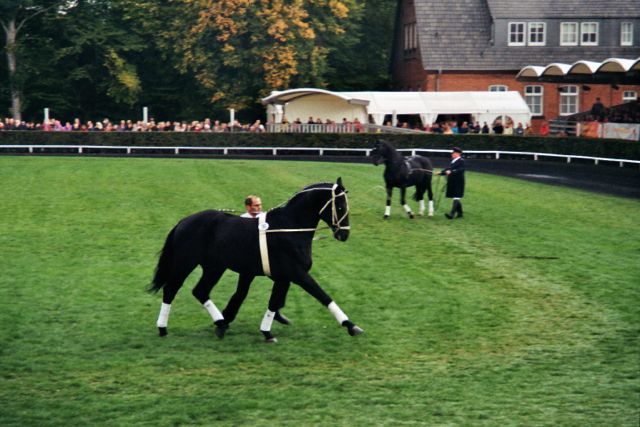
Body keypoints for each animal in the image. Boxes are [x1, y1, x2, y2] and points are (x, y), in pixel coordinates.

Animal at [148, 177, 363, 343]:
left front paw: (267, 332)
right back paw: (165, 328)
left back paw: (220, 323)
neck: (290, 228)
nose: (344, 234)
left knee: (200, 291)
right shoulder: (298, 274)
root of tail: (183, 221)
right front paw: (351, 326)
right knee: (171, 289)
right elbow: (322, 296)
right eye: (340, 206)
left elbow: (274, 302)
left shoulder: (283, 277)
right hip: (185, 263)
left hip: (214, 267)